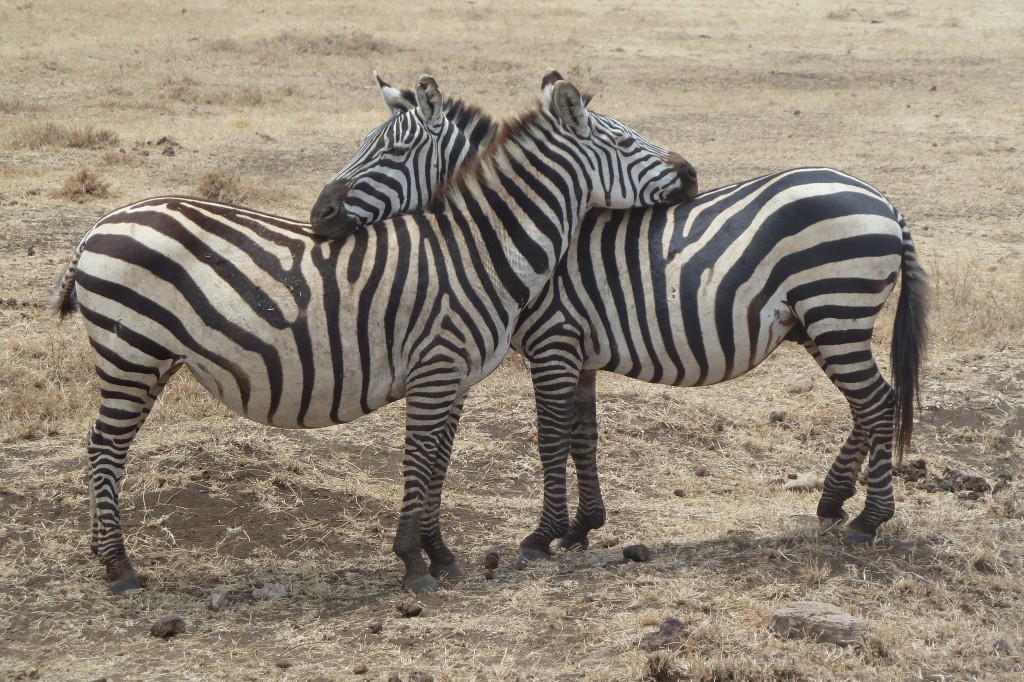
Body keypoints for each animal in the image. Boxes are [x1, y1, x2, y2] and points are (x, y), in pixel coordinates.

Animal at [54, 69, 696, 589]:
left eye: (392, 149)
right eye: (625, 142)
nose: (690, 174)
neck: (479, 248)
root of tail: (99, 226)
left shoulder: (455, 376)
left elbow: (439, 461)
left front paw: (442, 555)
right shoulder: (439, 366)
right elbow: (419, 457)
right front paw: (413, 561)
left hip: (149, 358)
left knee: (105, 445)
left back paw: (106, 556)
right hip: (131, 353)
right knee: (105, 446)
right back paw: (119, 566)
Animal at [311, 87, 929, 561]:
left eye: (393, 151)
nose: (319, 215)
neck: (514, 232)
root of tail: (884, 202)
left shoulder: (554, 341)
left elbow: (551, 436)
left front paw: (541, 536)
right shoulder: (578, 351)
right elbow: (582, 436)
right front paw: (583, 527)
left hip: (835, 308)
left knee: (877, 403)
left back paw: (868, 519)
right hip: (822, 321)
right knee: (868, 404)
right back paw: (833, 500)